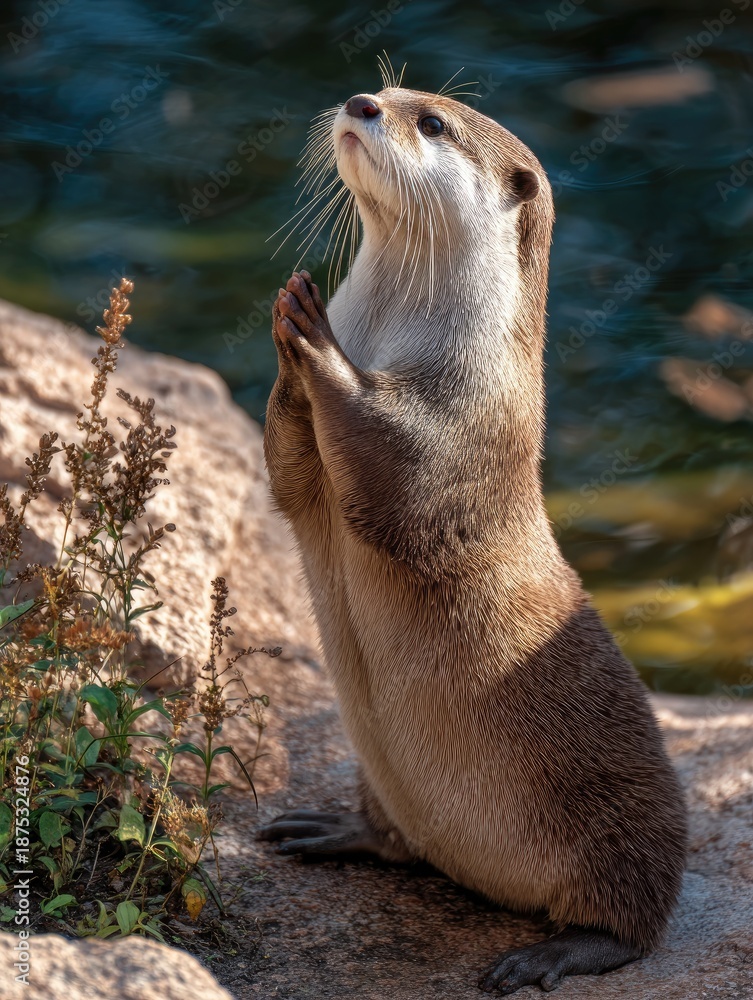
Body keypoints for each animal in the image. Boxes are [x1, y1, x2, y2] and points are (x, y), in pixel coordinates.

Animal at [259, 82, 687, 995]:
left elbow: (399, 476)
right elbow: (289, 478)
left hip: (623, 821)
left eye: (429, 122)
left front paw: (315, 340)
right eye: (385, 89)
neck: (393, 332)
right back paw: (331, 830)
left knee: (634, 919)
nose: (361, 102)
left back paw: (548, 954)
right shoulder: (303, 485)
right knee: (398, 843)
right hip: (385, 786)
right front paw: (286, 324)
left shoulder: (471, 418)